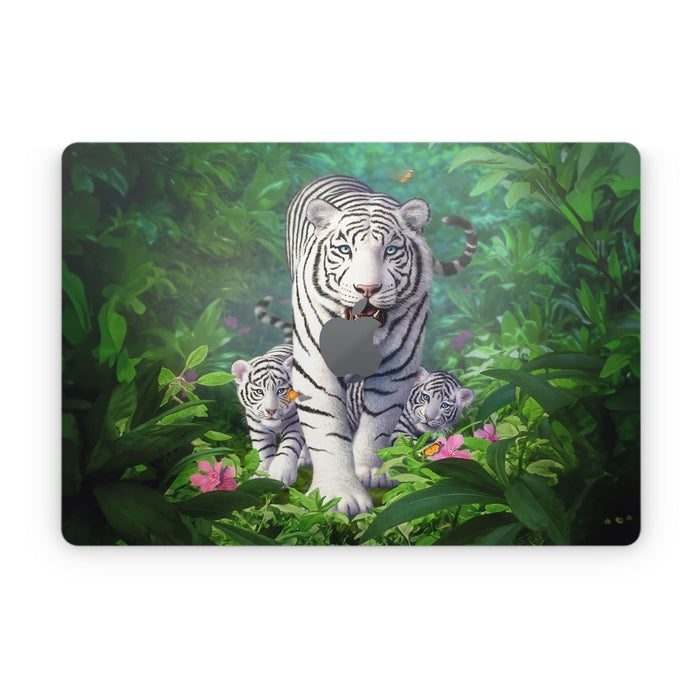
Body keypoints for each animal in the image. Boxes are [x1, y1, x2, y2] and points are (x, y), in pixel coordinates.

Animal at [230, 344, 306, 486]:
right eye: (259, 391)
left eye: (281, 391)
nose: (271, 411)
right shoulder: (258, 428)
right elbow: (263, 450)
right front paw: (261, 476)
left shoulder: (295, 423)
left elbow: (289, 444)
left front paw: (281, 474)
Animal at [285, 174, 477, 516]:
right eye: (345, 249)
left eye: (390, 250)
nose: (367, 288)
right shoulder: (316, 369)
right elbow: (326, 430)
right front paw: (339, 496)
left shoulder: (397, 369)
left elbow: (378, 423)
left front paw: (372, 472)